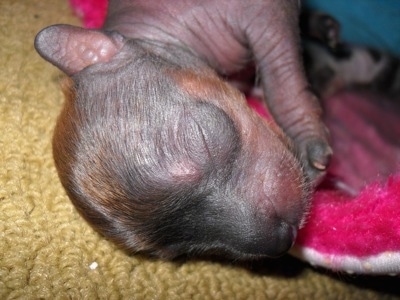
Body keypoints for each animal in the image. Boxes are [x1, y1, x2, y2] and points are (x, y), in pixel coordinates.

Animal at [34, 0, 330, 258]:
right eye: (180, 248)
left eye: (202, 138)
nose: (283, 240)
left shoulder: (268, 20)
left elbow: (284, 83)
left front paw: (309, 147)